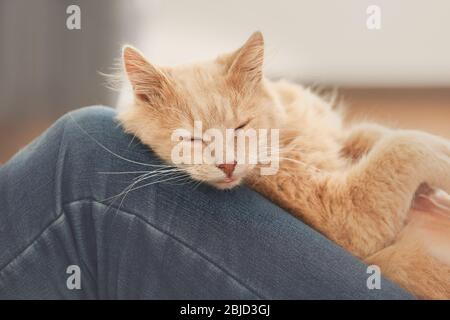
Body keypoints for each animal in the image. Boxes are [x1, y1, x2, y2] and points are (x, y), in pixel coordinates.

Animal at [115, 31, 450, 298]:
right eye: (192, 139)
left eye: (240, 126)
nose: (228, 165)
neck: (286, 129)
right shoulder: (346, 213)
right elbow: (405, 145)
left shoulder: (337, 137)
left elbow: (373, 134)